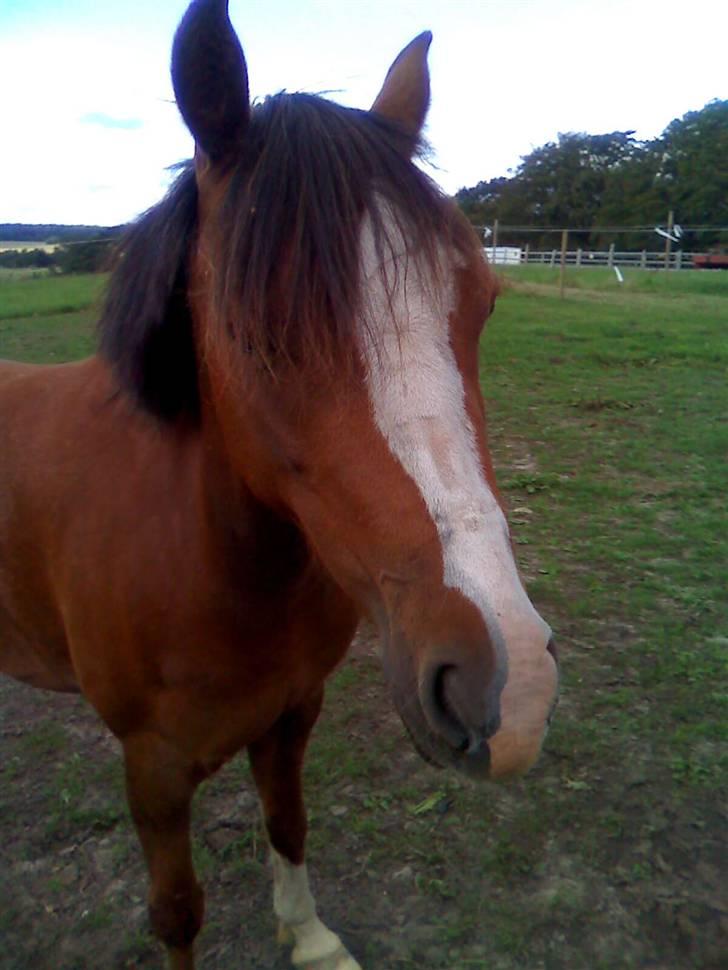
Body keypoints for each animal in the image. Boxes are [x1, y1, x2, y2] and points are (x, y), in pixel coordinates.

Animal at [0, 1, 558, 967]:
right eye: (258, 333)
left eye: (484, 305)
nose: (508, 686)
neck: (202, 558)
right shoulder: (150, 767)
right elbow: (177, 910)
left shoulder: (294, 714)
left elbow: (289, 825)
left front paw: (311, 939)